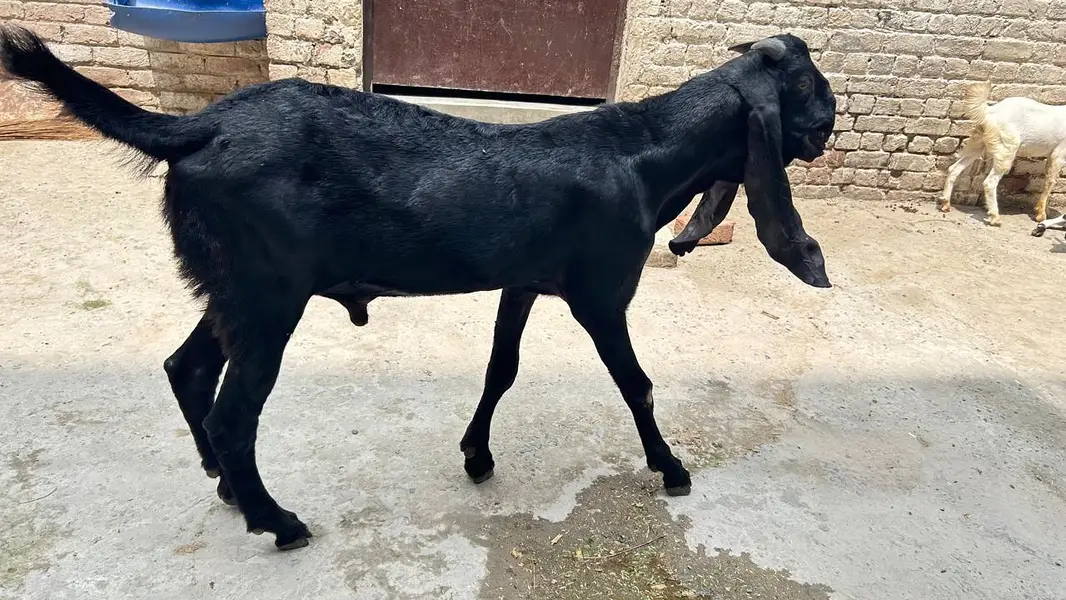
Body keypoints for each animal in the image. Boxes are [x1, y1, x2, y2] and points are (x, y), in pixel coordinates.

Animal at [0, 26, 835, 551]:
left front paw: (476, 455)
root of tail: (196, 127)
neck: (641, 152)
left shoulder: (524, 282)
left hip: (235, 283)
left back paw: (228, 487)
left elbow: (502, 368)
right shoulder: (601, 292)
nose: (831, 123)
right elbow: (637, 383)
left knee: (188, 367)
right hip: (269, 293)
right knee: (234, 412)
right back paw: (278, 521)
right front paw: (671, 469)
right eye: (804, 85)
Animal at [940, 81, 1066, 226]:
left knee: (954, 169)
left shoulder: (1052, 154)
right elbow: (1050, 181)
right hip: (1007, 147)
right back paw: (995, 217)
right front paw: (1040, 214)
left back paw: (945, 204)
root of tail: (990, 111)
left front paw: (1046, 211)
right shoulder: (1059, 153)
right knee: (990, 182)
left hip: (978, 142)